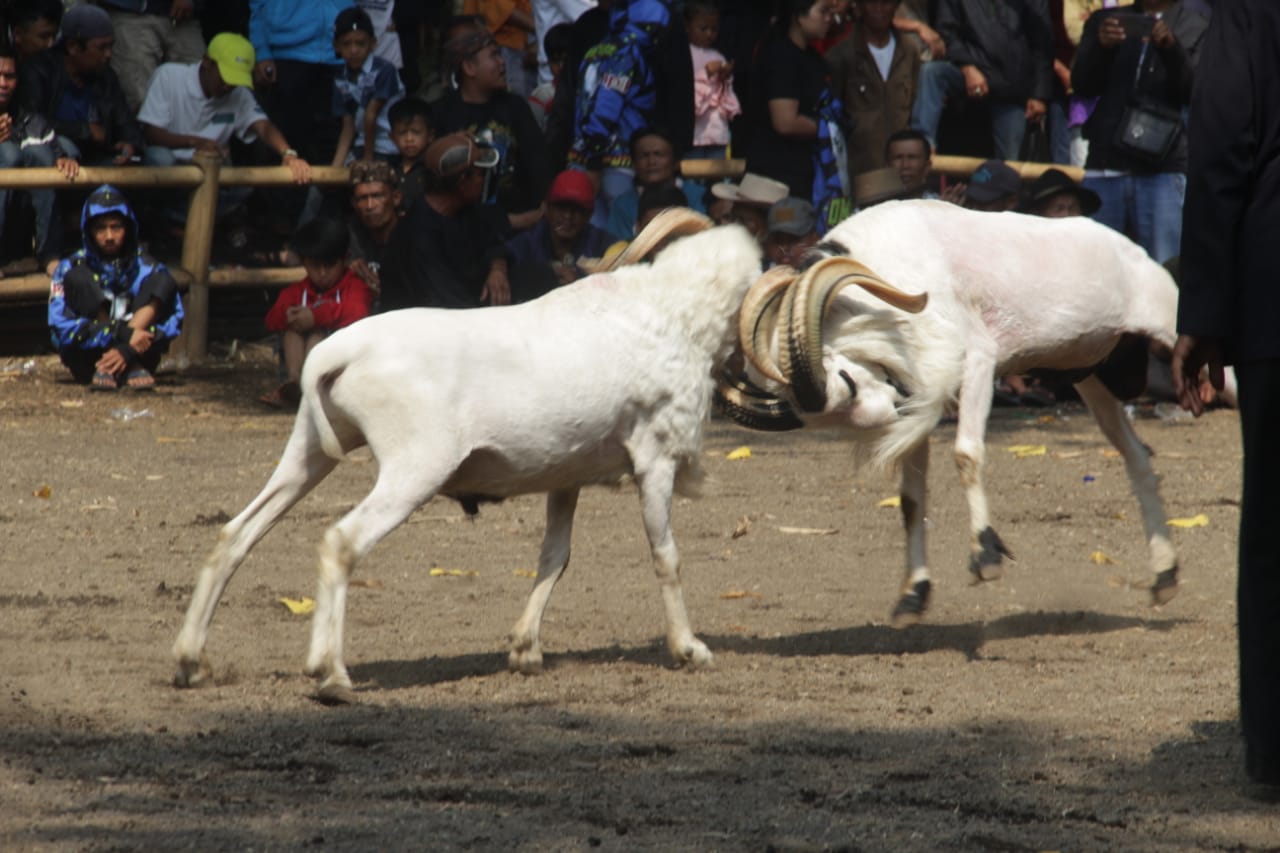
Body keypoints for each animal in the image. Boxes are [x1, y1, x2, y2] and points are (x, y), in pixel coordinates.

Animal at [170, 208, 757, 701]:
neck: (670, 313)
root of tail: (335, 353)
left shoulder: (566, 474)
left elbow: (555, 557)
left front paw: (525, 652)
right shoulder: (655, 460)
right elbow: (666, 557)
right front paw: (689, 649)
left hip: (309, 450)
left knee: (236, 534)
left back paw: (191, 662)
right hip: (414, 467)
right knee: (340, 543)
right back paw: (330, 674)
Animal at [721, 199, 1177, 625]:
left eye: (847, 382)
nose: (891, 412)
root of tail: (1137, 255)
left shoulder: (976, 361)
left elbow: (966, 454)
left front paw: (986, 558)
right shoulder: (920, 392)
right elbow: (910, 500)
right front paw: (912, 597)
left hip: (1167, 332)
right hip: (1091, 378)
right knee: (1137, 456)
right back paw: (1165, 576)